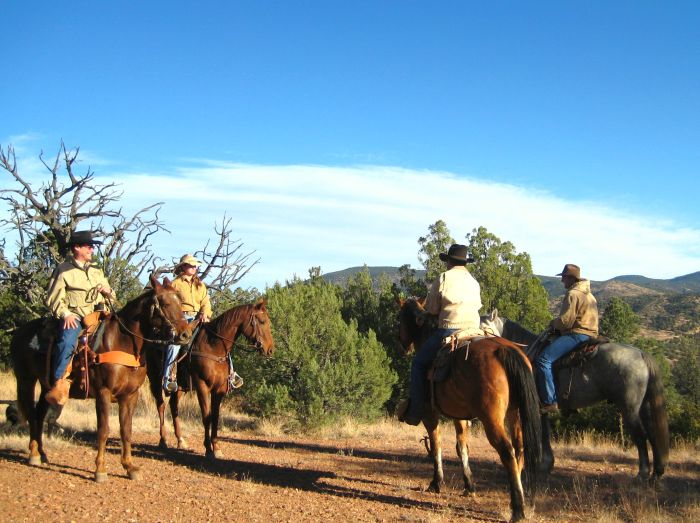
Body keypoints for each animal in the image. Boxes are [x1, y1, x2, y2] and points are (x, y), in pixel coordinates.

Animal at [11, 276, 191, 486]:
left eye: (181, 302)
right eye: (165, 303)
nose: (185, 335)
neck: (123, 342)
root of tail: (19, 332)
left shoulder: (130, 395)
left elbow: (126, 430)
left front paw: (129, 467)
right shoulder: (103, 393)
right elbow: (104, 430)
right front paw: (100, 470)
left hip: (45, 384)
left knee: (39, 414)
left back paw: (42, 454)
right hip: (26, 380)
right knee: (32, 414)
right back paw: (33, 454)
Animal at [146, 298, 274, 458]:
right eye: (262, 321)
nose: (270, 349)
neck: (213, 347)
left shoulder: (218, 390)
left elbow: (215, 417)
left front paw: (217, 448)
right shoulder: (202, 387)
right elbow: (206, 417)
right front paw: (208, 449)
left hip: (180, 386)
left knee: (174, 406)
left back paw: (181, 440)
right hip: (154, 379)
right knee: (161, 406)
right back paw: (163, 440)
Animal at [400, 298, 540, 523]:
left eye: (399, 319)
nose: (403, 346)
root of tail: (504, 350)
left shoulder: (430, 413)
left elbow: (436, 444)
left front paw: (436, 483)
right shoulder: (460, 416)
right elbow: (462, 447)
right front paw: (469, 486)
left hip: (492, 419)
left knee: (507, 451)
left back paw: (518, 509)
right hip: (515, 413)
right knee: (519, 449)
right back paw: (516, 498)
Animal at [478, 310, 668, 486]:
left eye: (485, 328)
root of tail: (641, 354)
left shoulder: (537, 407)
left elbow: (542, 435)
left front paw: (542, 467)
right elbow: (546, 434)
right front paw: (547, 466)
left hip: (629, 409)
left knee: (641, 436)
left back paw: (642, 474)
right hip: (643, 408)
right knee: (653, 434)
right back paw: (656, 474)